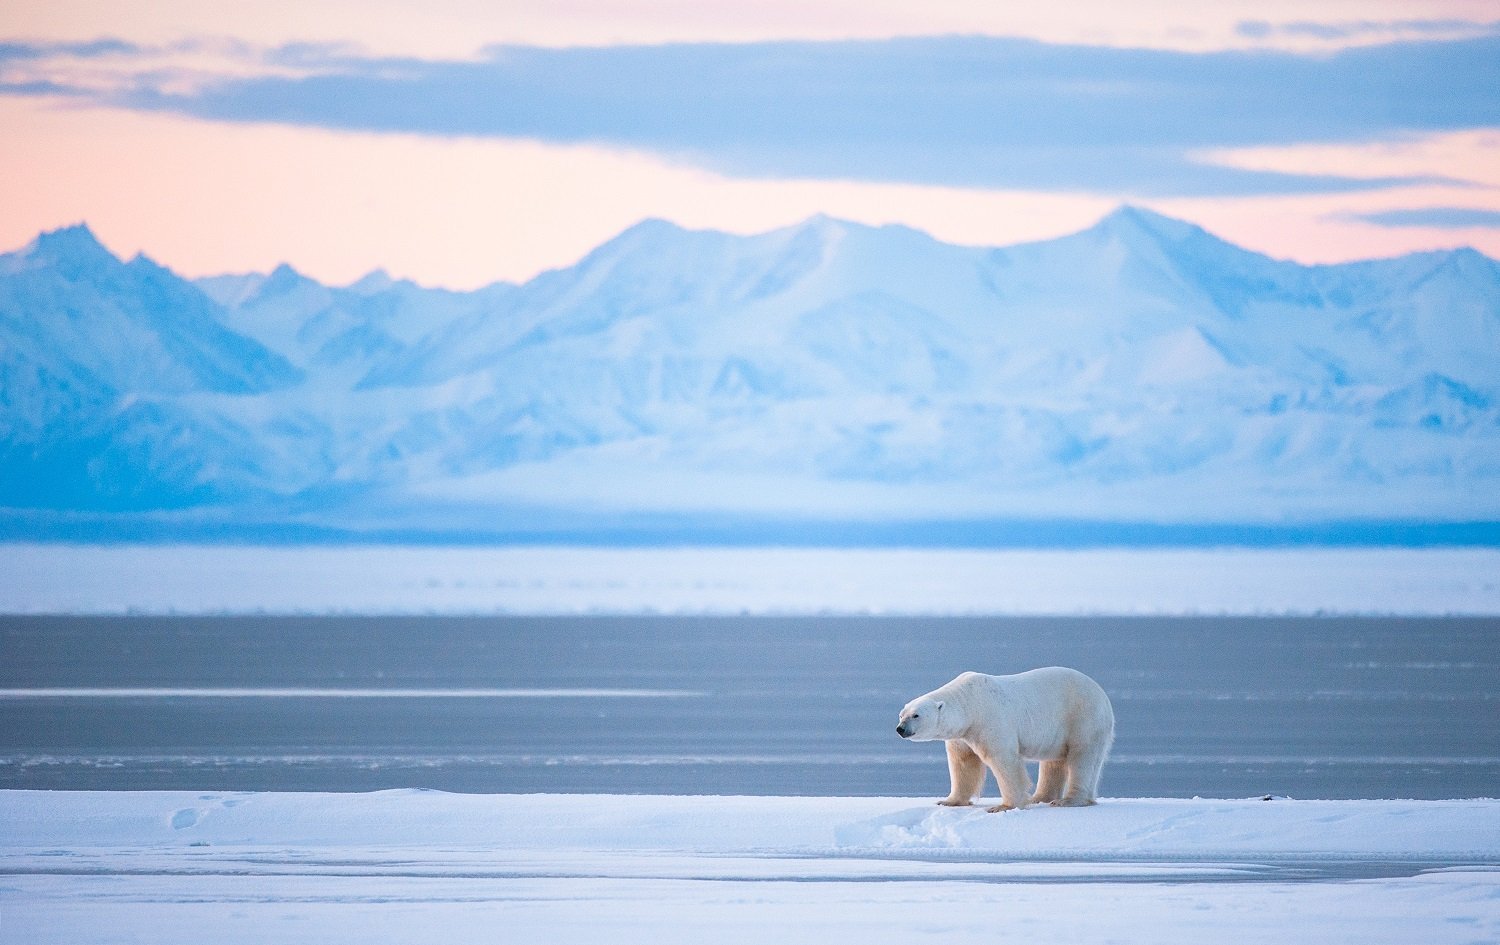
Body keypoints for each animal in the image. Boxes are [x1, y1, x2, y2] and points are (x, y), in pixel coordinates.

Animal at [888, 666, 1116, 816]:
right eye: (901, 714)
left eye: (916, 715)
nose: (900, 729)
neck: (970, 702)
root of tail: (1103, 695)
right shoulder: (962, 735)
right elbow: (963, 763)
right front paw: (949, 801)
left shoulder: (991, 720)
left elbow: (1002, 760)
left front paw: (1003, 806)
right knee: (1054, 761)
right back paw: (1039, 797)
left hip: (1083, 717)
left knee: (1083, 756)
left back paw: (1068, 800)